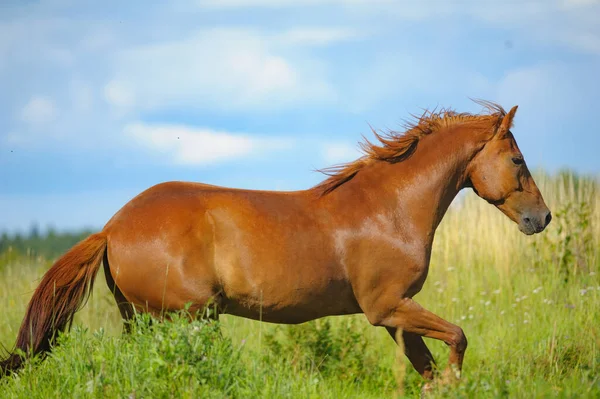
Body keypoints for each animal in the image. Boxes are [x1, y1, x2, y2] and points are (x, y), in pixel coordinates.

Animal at [1, 102, 552, 388]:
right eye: (518, 159)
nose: (542, 218)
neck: (390, 208)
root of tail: (112, 227)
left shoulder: (397, 315)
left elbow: (428, 369)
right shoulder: (387, 307)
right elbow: (457, 338)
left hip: (143, 319)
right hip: (188, 318)